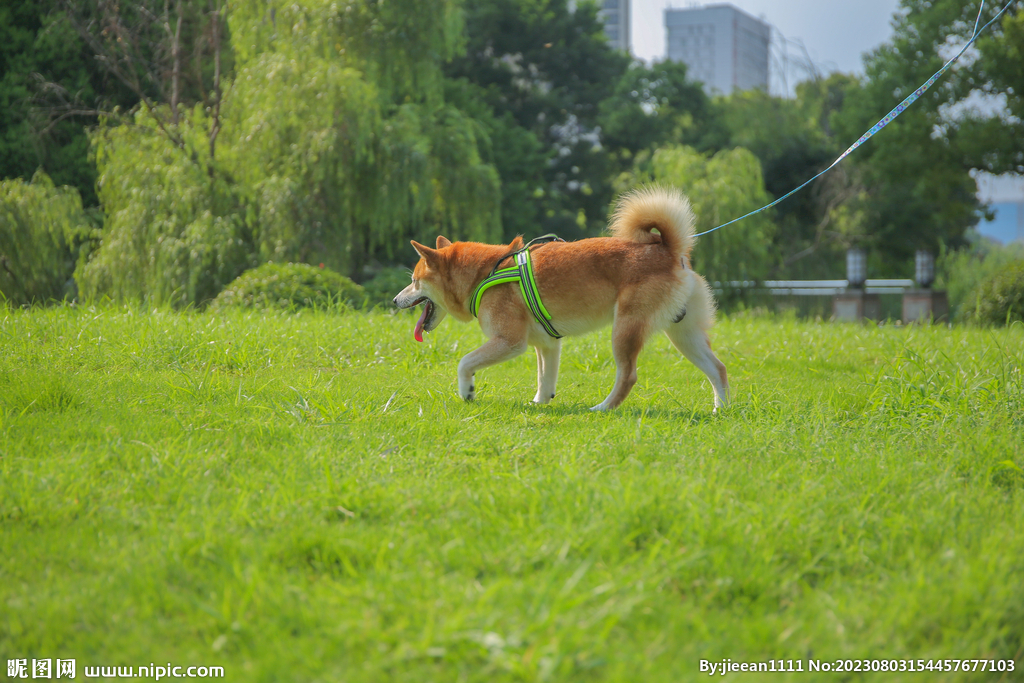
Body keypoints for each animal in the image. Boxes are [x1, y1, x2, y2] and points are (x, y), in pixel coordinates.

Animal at [391, 185, 729, 411]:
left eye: (414, 281)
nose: (394, 301)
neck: (486, 273)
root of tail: (669, 250)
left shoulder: (510, 342)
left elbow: (464, 363)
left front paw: (467, 391)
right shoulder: (547, 344)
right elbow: (545, 378)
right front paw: (539, 404)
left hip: (625, 328)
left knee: (628, 375)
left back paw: (602, 408)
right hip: (683, 334)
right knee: (718, 368)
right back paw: (720, 410)